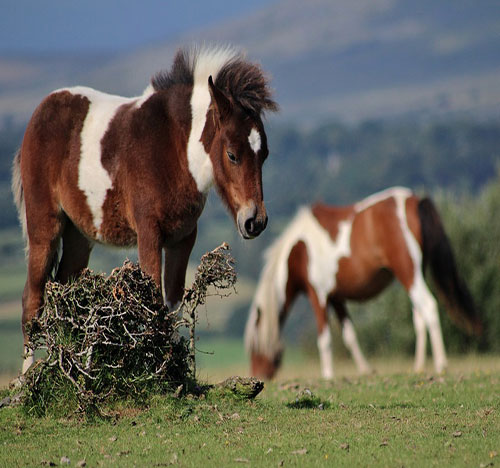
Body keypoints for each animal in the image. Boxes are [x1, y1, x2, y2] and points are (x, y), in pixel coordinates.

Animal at [12, 44, 278, 372]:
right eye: (232, 154)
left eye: (264, 154)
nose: (256, 221)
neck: (175, 148)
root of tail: (39, 114)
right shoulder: (149, 234)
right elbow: (154, 302)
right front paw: (156, 369)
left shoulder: (182, 238)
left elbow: (172, 306)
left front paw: (176, 370)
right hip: (44, 229)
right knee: (33, 300)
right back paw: (29, 376)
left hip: (79, 236)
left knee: (63, 292)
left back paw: (66, 365)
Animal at [244, 186, 482, 380]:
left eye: (254, 346)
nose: (259, 376)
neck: (300, 249)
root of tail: (414, 201)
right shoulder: (337, 298)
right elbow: (349, 335)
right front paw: (366, 370)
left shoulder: (318, 295)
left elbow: (325, 339)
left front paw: (328, 375)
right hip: (415, 274)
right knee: (419, 316)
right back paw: (418, 367)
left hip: (408, 273)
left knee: (429, 307)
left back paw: (441, 364)